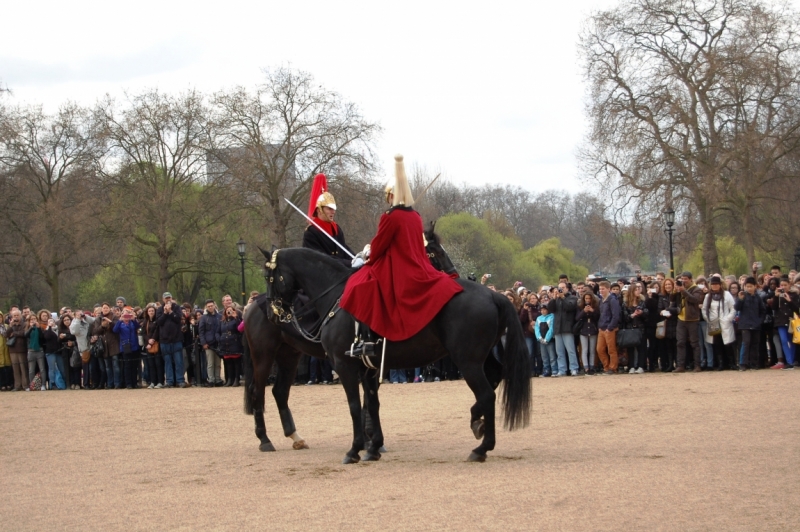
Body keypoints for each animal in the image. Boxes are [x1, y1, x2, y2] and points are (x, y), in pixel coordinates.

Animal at [242, 222, 456, 450]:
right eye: (434, 253)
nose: (273, 313)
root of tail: (252, 306)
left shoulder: (370, 360)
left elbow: (369, 399)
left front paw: (369, 437)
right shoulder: (353, 360)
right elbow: (363, 399)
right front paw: (368, 437)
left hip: (289, 355)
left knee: (280, 392)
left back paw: (295, 436)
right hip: (263, 355)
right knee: (257, 391)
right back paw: (264, 439)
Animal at [260, 247, 532, 464]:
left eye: (269, 276)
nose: (273, 313)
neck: (336, 297)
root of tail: (492, 294)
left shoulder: (345, 365)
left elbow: (354, 406)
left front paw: (355, 449)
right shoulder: (368, 368)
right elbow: (372, 404)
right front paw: (373, 447)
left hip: (468, 362)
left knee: (486, 394)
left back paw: (481, 448)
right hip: (479, 359)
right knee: (495, 378)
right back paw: (478, 423)